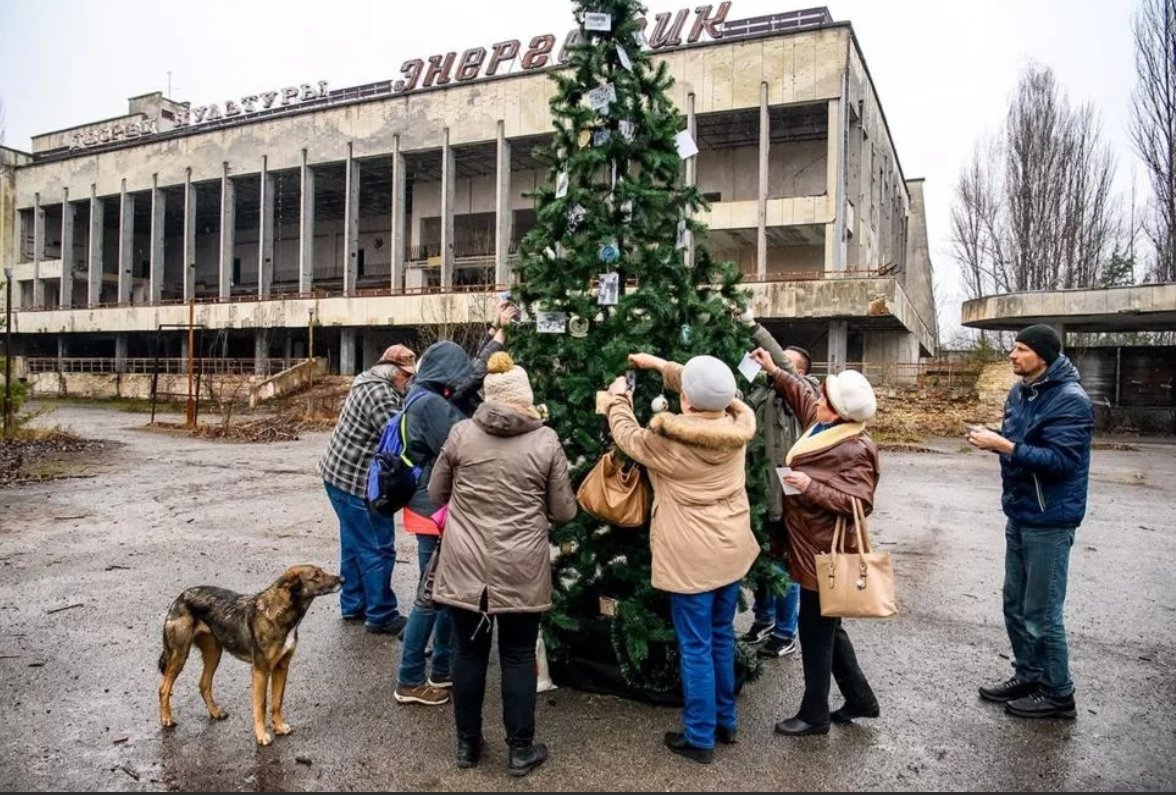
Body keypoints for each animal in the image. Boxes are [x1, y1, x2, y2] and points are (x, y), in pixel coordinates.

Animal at [156, 564, 343, 743]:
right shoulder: (261, 670)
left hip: (214, 653)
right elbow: (261, 705)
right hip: (179, 655)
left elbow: (277, 702)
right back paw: (167, 718)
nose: (343, 579)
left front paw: (279, 727)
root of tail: (180, 598)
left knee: (204, 684)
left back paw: (215, 712)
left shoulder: (282, 666)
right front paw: (261, 736)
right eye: (316, 575)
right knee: (164, 688)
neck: (280, 614)